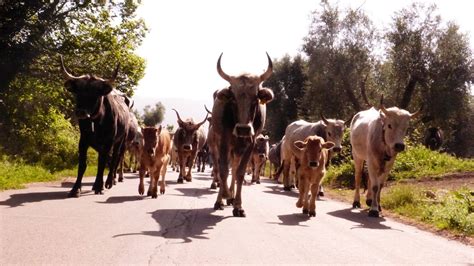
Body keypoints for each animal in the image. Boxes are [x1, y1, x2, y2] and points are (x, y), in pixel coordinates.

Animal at [61, 56, 132, 197]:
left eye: (95, 94)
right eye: (78, 92)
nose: (81, 112)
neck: (97, 122)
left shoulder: (108, 141)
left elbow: (102, 163)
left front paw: (100, 186)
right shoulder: (83, 140)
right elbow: (82, 164)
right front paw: (75, 189)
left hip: (120, 142)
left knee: (115, 159)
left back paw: (110, 181)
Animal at [208, 53, 274, 217]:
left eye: (255, 99)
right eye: (233, 98)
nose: (243, 129)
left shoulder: (250, 144)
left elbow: (240, 173)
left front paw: (238, 205)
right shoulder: (224, 141)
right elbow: (223, 170)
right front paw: (223, 196)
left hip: (238, 149)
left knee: (235, 168)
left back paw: (231, 197)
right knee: (224, 168)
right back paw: (223, 198)